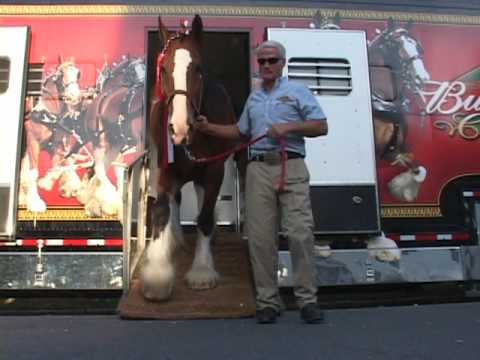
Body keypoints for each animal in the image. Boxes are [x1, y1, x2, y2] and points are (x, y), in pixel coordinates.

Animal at [18, 59, 88, 212]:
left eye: (78, 73)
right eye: (61, 75)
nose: (74, 96)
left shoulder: (57, 144)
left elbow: (59, 166)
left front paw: (47, 183)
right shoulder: (33, 142)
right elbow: (33, 172)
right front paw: (35, 202)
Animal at [142, 14, 239, 300]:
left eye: (197, 69)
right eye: (164, 70)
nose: (179, 128)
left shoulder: (214, 170)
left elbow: (204, 216)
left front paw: (202, 271)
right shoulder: (165, 169)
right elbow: (161, 210)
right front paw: (158, 274)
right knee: (176, 199)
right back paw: (174, 241)